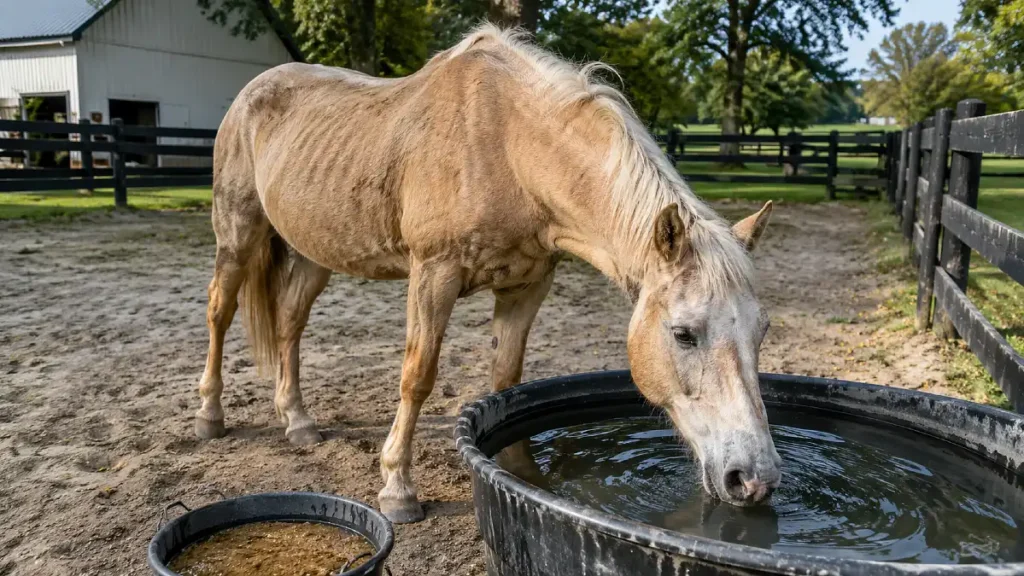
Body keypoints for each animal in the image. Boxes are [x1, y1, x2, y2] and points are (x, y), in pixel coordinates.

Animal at [195, 24, 781, 524]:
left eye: (761, 332)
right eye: (683, 334)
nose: (754, 479)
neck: (508, 146)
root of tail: (253, 92)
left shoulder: (527, 286)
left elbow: (506, 383)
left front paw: (516, 477)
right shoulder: (433, 274)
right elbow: (417, 376)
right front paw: (398, 489)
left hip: (316, 253)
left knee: (289, 323)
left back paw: (297, 421)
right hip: (238, 234)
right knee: (220, 311)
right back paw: (209, 416)